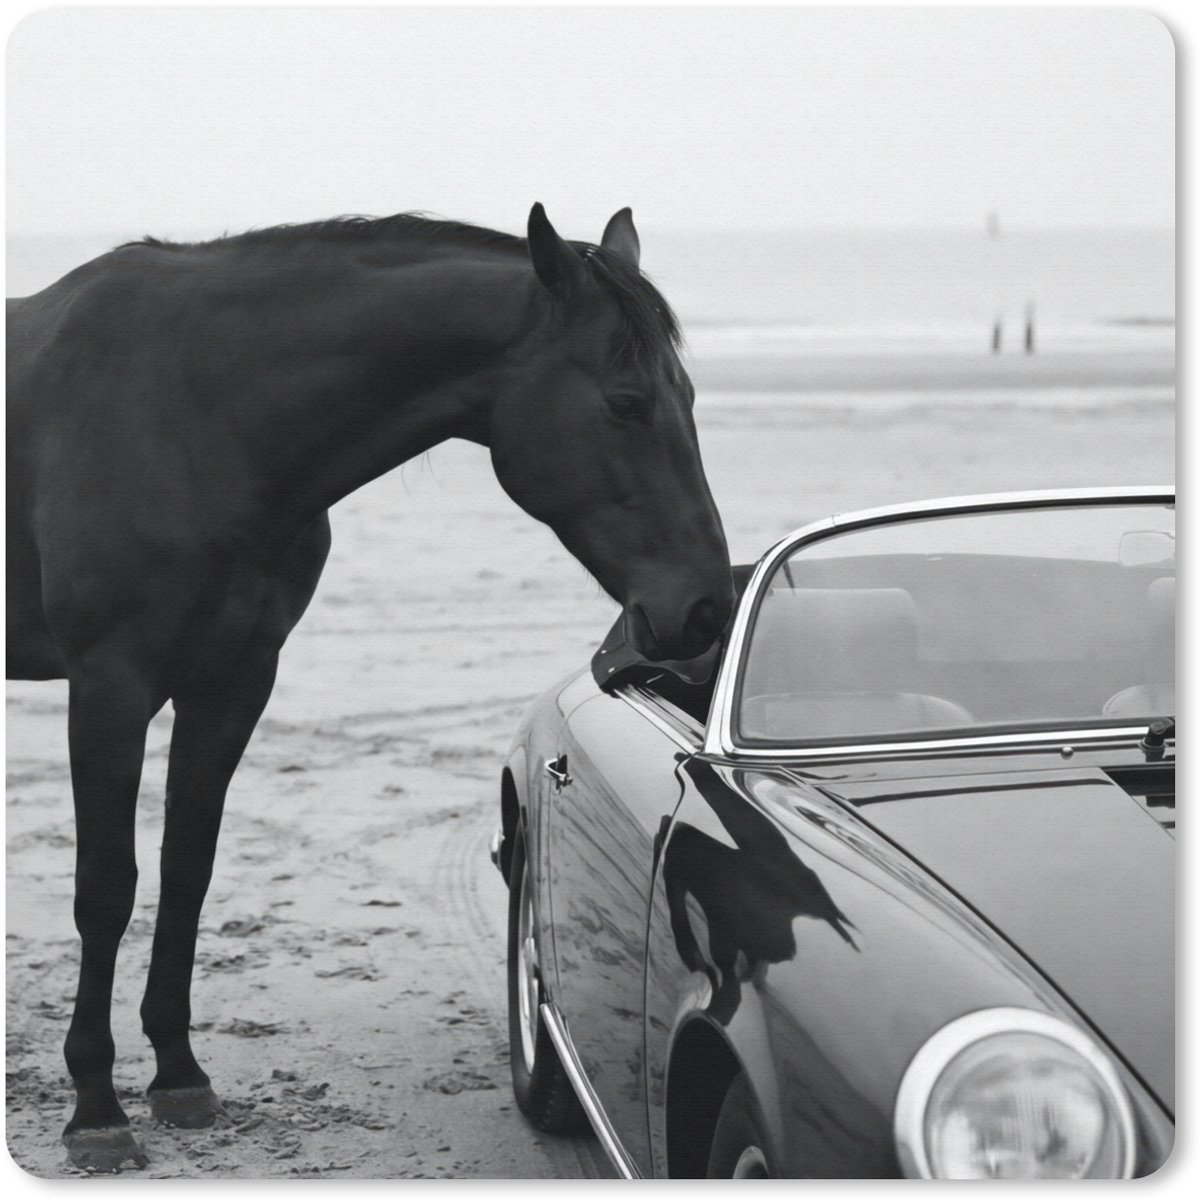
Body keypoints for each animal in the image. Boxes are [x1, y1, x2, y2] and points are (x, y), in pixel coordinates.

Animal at [6, 204, 733, 1171]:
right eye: (626, 403)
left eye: (686, 398)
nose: (705, 607)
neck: (197, 413)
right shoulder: (110, 688)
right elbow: (105, 889)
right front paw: (95, 1107)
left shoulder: (231, 684)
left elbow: (187, 870)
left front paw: (178, 1077)